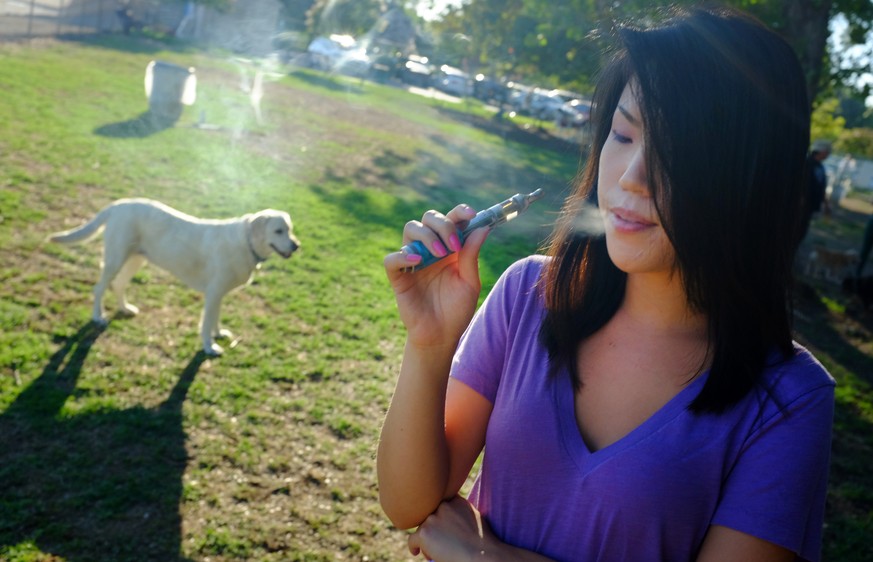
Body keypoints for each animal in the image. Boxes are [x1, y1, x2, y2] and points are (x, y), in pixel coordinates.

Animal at [48, 198, 300, 354]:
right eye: (278, 231)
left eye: (290, 229)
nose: (296, 246)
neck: (247, 243)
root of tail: (119, 204)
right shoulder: (214, 293)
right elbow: (206, 323)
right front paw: (209, 347)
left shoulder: (219, 295)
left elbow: (215, 319)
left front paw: (219, 334)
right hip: (115, 259)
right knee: (99, 288)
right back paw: (97, 317)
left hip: (135, 260)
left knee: (118, 285)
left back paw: (125, 308)